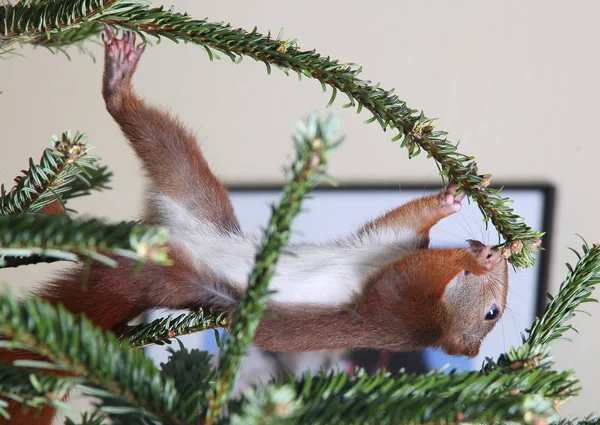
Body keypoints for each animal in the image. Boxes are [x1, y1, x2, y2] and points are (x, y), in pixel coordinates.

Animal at [0, 28, 508, 422]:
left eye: (493, 313)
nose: (494, 250)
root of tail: (162, 238)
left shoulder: (400, 317)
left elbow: (396, 284)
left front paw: (475, 257)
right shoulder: (393, 243)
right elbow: (405, 224)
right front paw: (452, 203)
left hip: (160, 267)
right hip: (187, 187)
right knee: (146, 134)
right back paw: (109, 96)